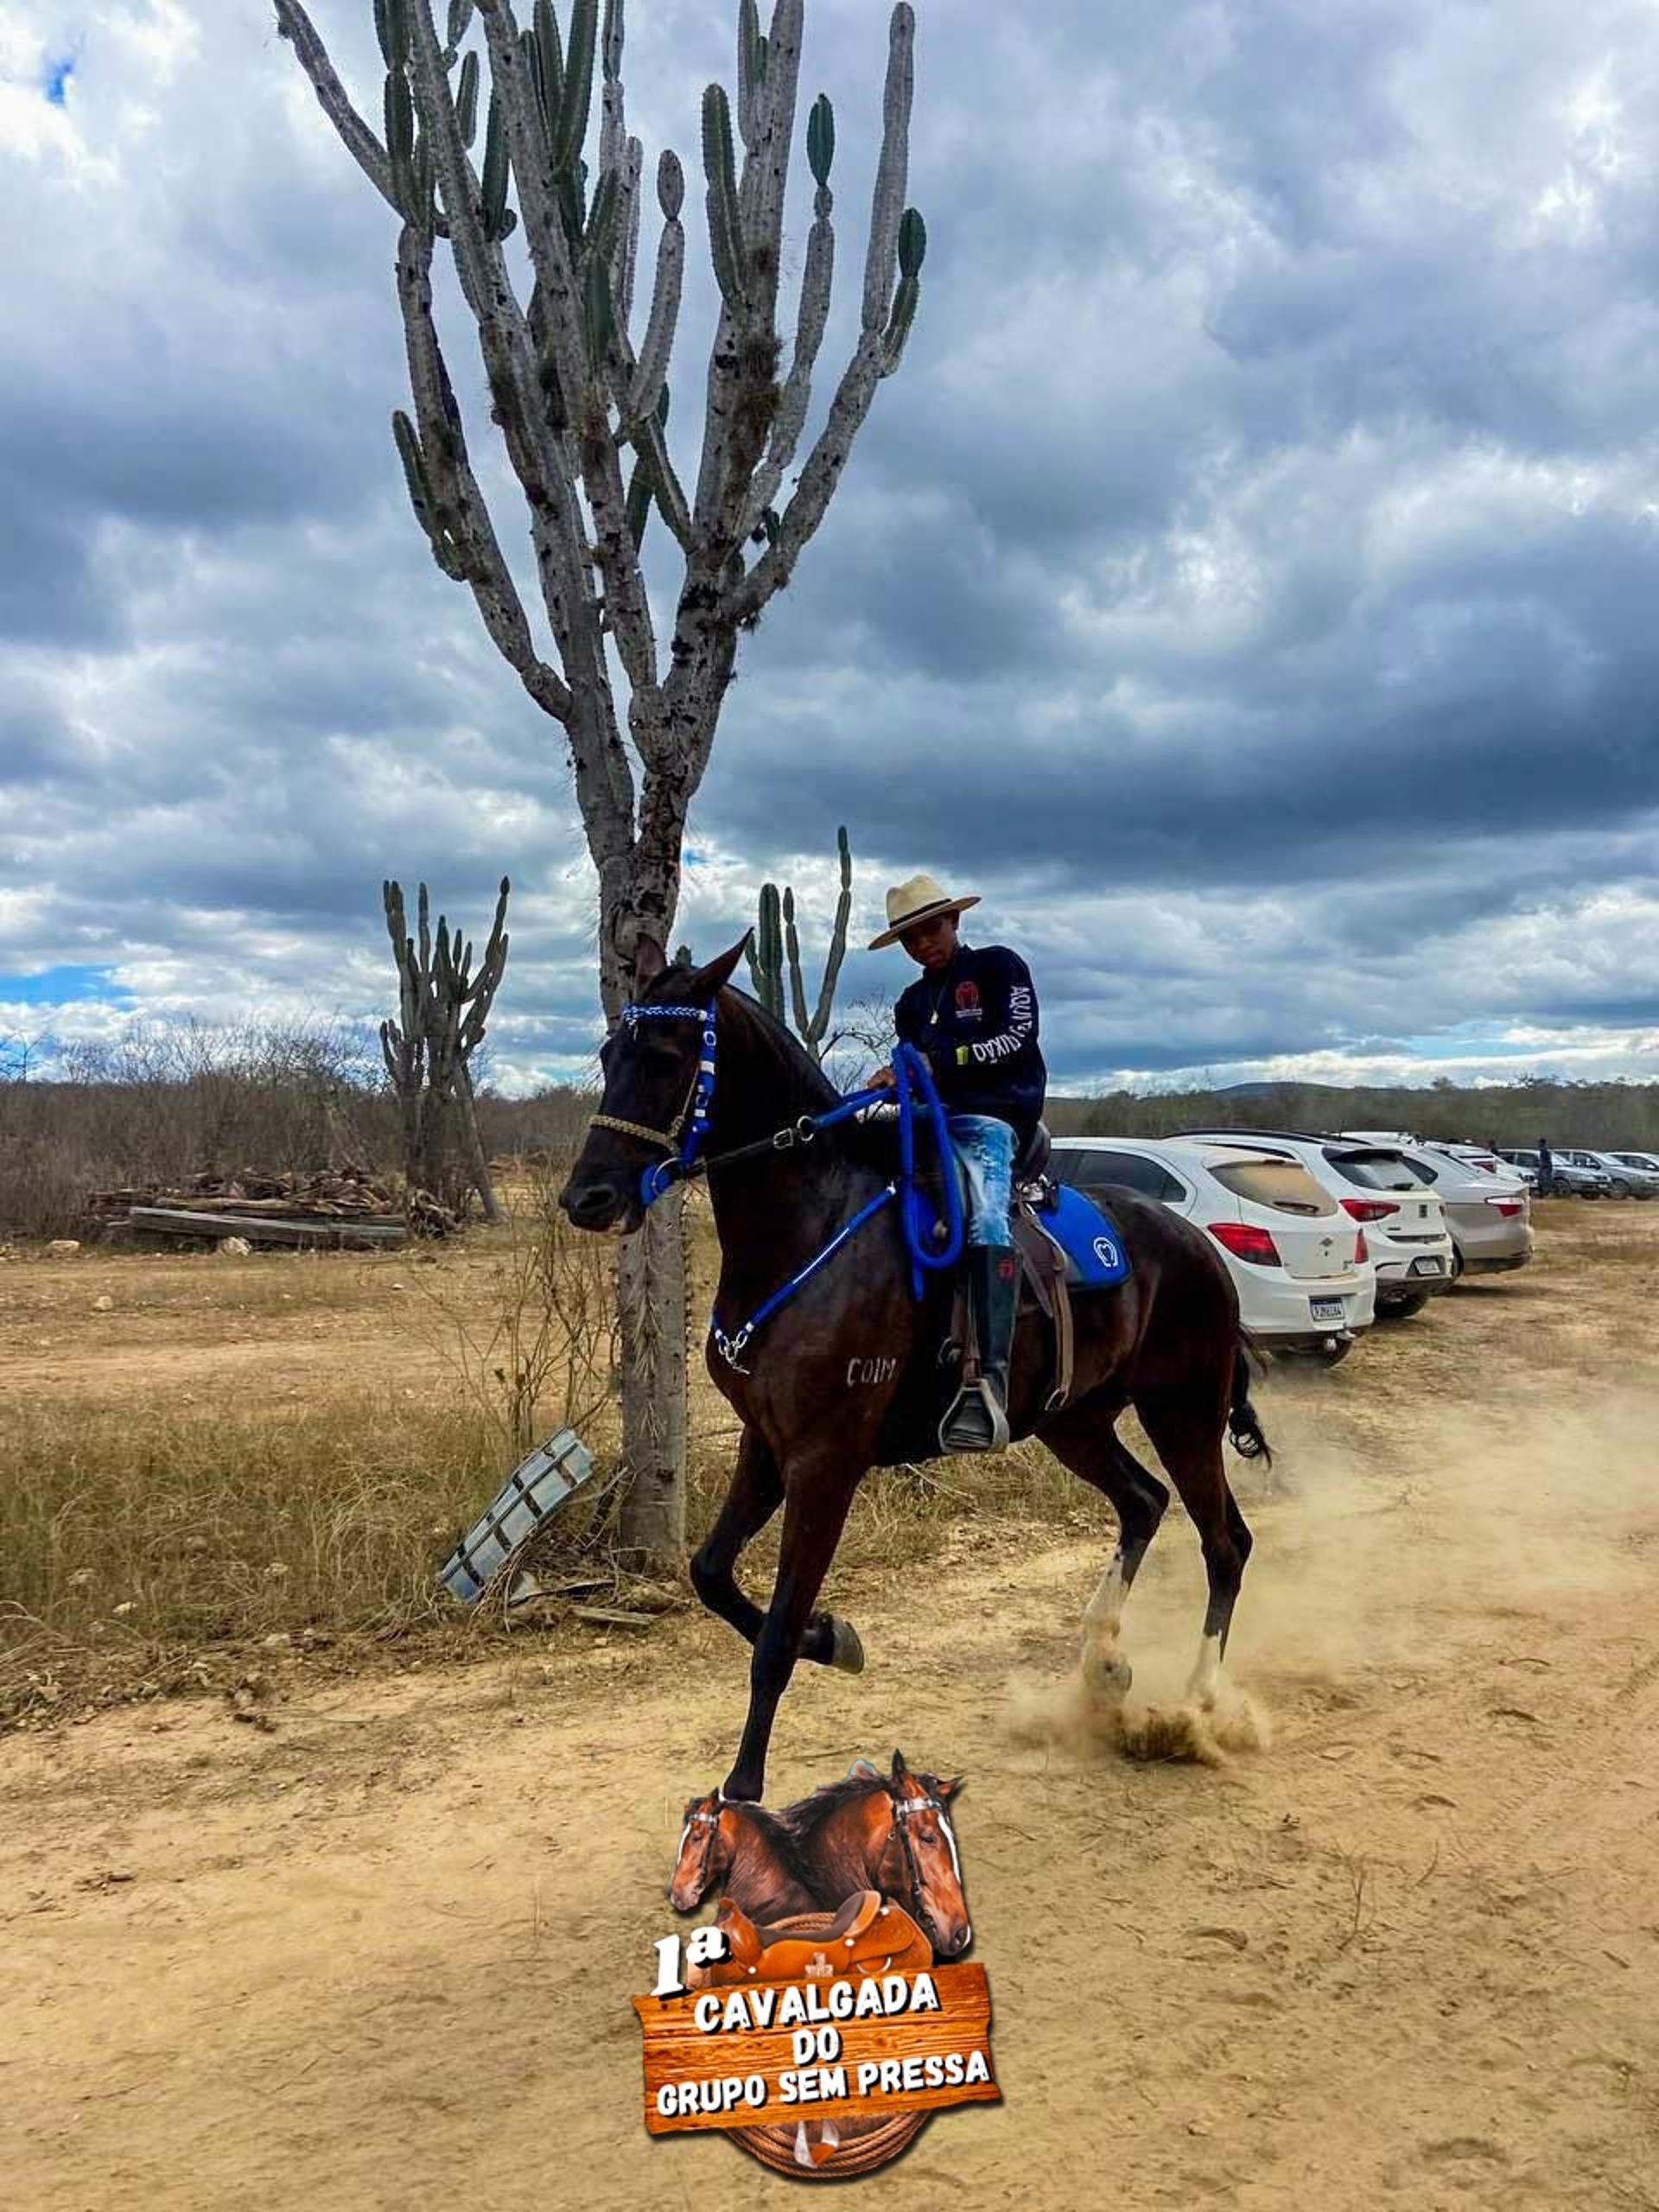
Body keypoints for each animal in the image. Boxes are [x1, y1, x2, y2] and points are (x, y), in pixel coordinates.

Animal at [561, 936, 1267, 1804]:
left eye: (666, 1055)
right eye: (608, 1053)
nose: (587, 1197)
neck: (811, 1227)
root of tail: (1199, 1245)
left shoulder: (826, 1463)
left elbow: (775, 1635)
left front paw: (745, 1785)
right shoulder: (765, 1445)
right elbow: (711, 1574)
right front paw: (833, 1639)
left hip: (1184, 1412)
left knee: (1225, 1542)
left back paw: (1199, 1706)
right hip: (1075, 1421)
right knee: (1143, 1502)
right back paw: (1104, 1664)